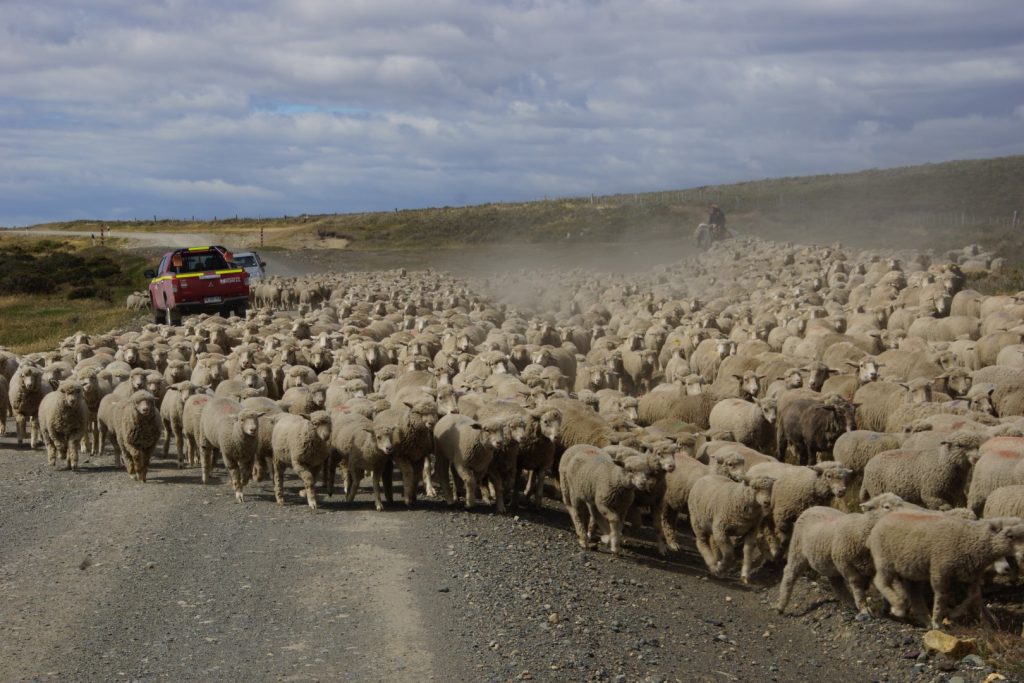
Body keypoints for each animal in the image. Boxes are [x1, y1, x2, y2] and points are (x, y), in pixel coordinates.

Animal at [777, 492, 907, 615]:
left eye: (901, 503)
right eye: (886, 507)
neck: (860, 531)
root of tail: (812, 508)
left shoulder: (874, 566)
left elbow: (886, 585)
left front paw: (891, 607)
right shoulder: (845, 564)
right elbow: (857, 584)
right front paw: (864, 608)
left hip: (829, 562)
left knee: (836, 583)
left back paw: (849, 602)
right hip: (797, 550)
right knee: (789, 572)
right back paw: (781, 605)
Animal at [868, 512, 1024, 627]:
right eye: (1010, 536)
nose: (1023, 554)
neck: (969, 540)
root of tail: (883, 518)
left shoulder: (971, 575)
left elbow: (974, 596)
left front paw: (953, 613)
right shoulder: (940, 570)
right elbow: (942, 596)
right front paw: (938, 621)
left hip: (911, 569)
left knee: (914, 594)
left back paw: (923, 619)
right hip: (884, 560)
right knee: (880, 581)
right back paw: (898, 607)